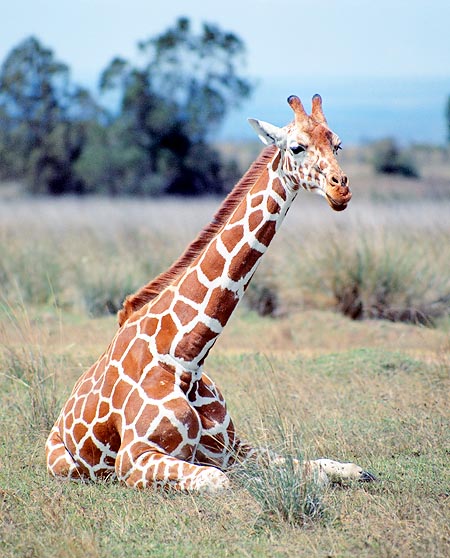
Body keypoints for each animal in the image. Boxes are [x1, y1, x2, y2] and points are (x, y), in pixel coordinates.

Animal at [45, 96, 376, 494]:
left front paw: (352, 472)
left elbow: (319, 466)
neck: (186, 359)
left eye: (337, 144)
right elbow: (222, 481)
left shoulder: (232, 446)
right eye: (297, 147)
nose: (340, 189)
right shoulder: (134, 460)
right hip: (70, 465)